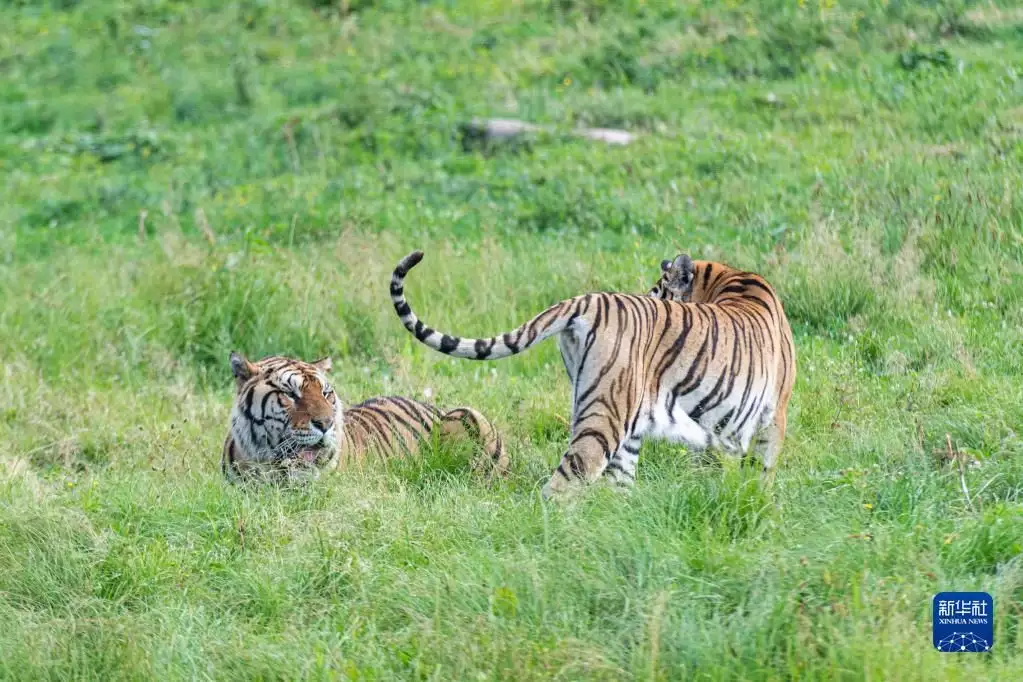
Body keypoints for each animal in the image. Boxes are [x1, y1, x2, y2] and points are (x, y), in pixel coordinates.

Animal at [225, 355, 511, 482]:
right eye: (289, 394)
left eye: (326, 393)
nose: (326, 424)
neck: (268, 466)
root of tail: (435, 407)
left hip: (469, 415)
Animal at [386, 248, 793, 498]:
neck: (727, 279)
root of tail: (586, 300)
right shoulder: (774, 414)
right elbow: (763, 469)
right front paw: (758, 503)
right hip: (607, 418)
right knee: (562, 487)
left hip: (617, 414)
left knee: (615, 485)